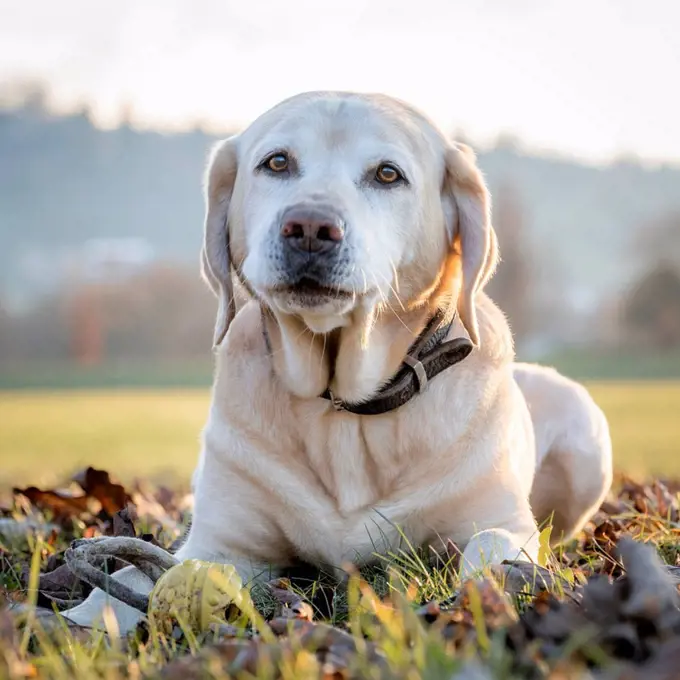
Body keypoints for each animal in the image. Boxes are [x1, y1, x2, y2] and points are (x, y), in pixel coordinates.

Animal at [63, 90, 612, 632]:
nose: (309, 227)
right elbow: (134, 575)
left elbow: (490, 547)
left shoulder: (500, 521)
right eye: (277, 162)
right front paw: (77, 617)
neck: (345, 409)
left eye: (388, 173)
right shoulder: (223, 543)